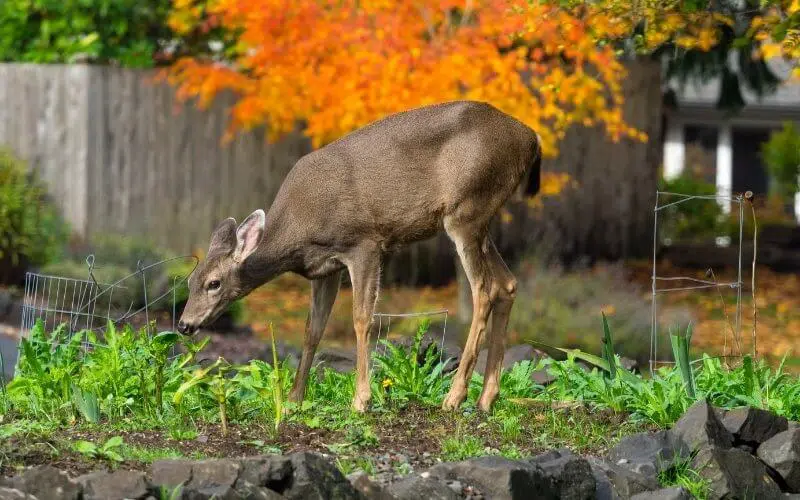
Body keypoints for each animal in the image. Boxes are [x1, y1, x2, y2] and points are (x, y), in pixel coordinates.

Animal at [174, 99, 536, 412]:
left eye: (214, 283)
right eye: (189, 281)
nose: (184, 324)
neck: (298, 230)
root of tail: (530, 138)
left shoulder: (364, 244)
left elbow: (362, 319)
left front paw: (361, 399)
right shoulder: (324, 268)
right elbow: (313, 329)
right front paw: (294, 399)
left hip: (466, 209)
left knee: (484, 289)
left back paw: (454, 397)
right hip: (481, 220)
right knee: (508, 284)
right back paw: (486, 398)